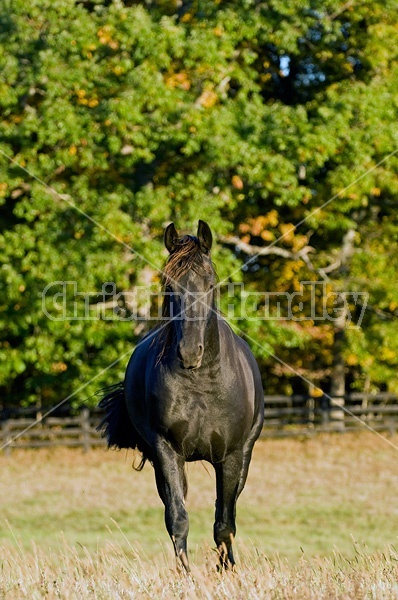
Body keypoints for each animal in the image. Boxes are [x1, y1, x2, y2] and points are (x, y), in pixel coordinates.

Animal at [98, 221, 264, 572]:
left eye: (210, 282)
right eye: (170, 285)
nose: (189, 352)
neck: (202, 383)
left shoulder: (232, 456)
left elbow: (224, 522)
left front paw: (228, 570)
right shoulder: (166, 451)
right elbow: (177, 518)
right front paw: (185, 574)